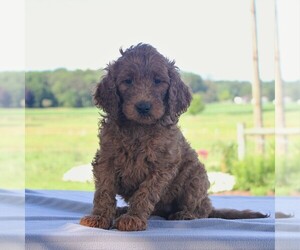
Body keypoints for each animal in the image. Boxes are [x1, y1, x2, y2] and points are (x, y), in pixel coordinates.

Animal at [79, 44, 268, 231]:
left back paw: (184, 214)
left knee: (202, 209)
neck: (139, 128)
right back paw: (122, 209)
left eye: (158, 81)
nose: (143, 106)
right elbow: (104, 191)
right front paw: (99, 217)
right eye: (128, 81)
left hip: (196, 178)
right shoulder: (106, 159)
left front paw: (133, 218)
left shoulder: (162, 165)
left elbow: (144, 193)